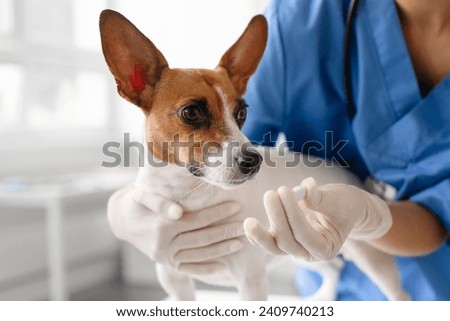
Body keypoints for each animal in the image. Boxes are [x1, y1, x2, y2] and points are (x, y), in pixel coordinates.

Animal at [100, 10, 410, 300]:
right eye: (191, 112)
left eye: (242, 113)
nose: (253, 161)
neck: (188, 193)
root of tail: (347, 176)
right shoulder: (174, 279)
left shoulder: (251, 280)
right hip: (303, 247)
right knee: (333, 267)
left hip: (367, 253)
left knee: (395, 291)